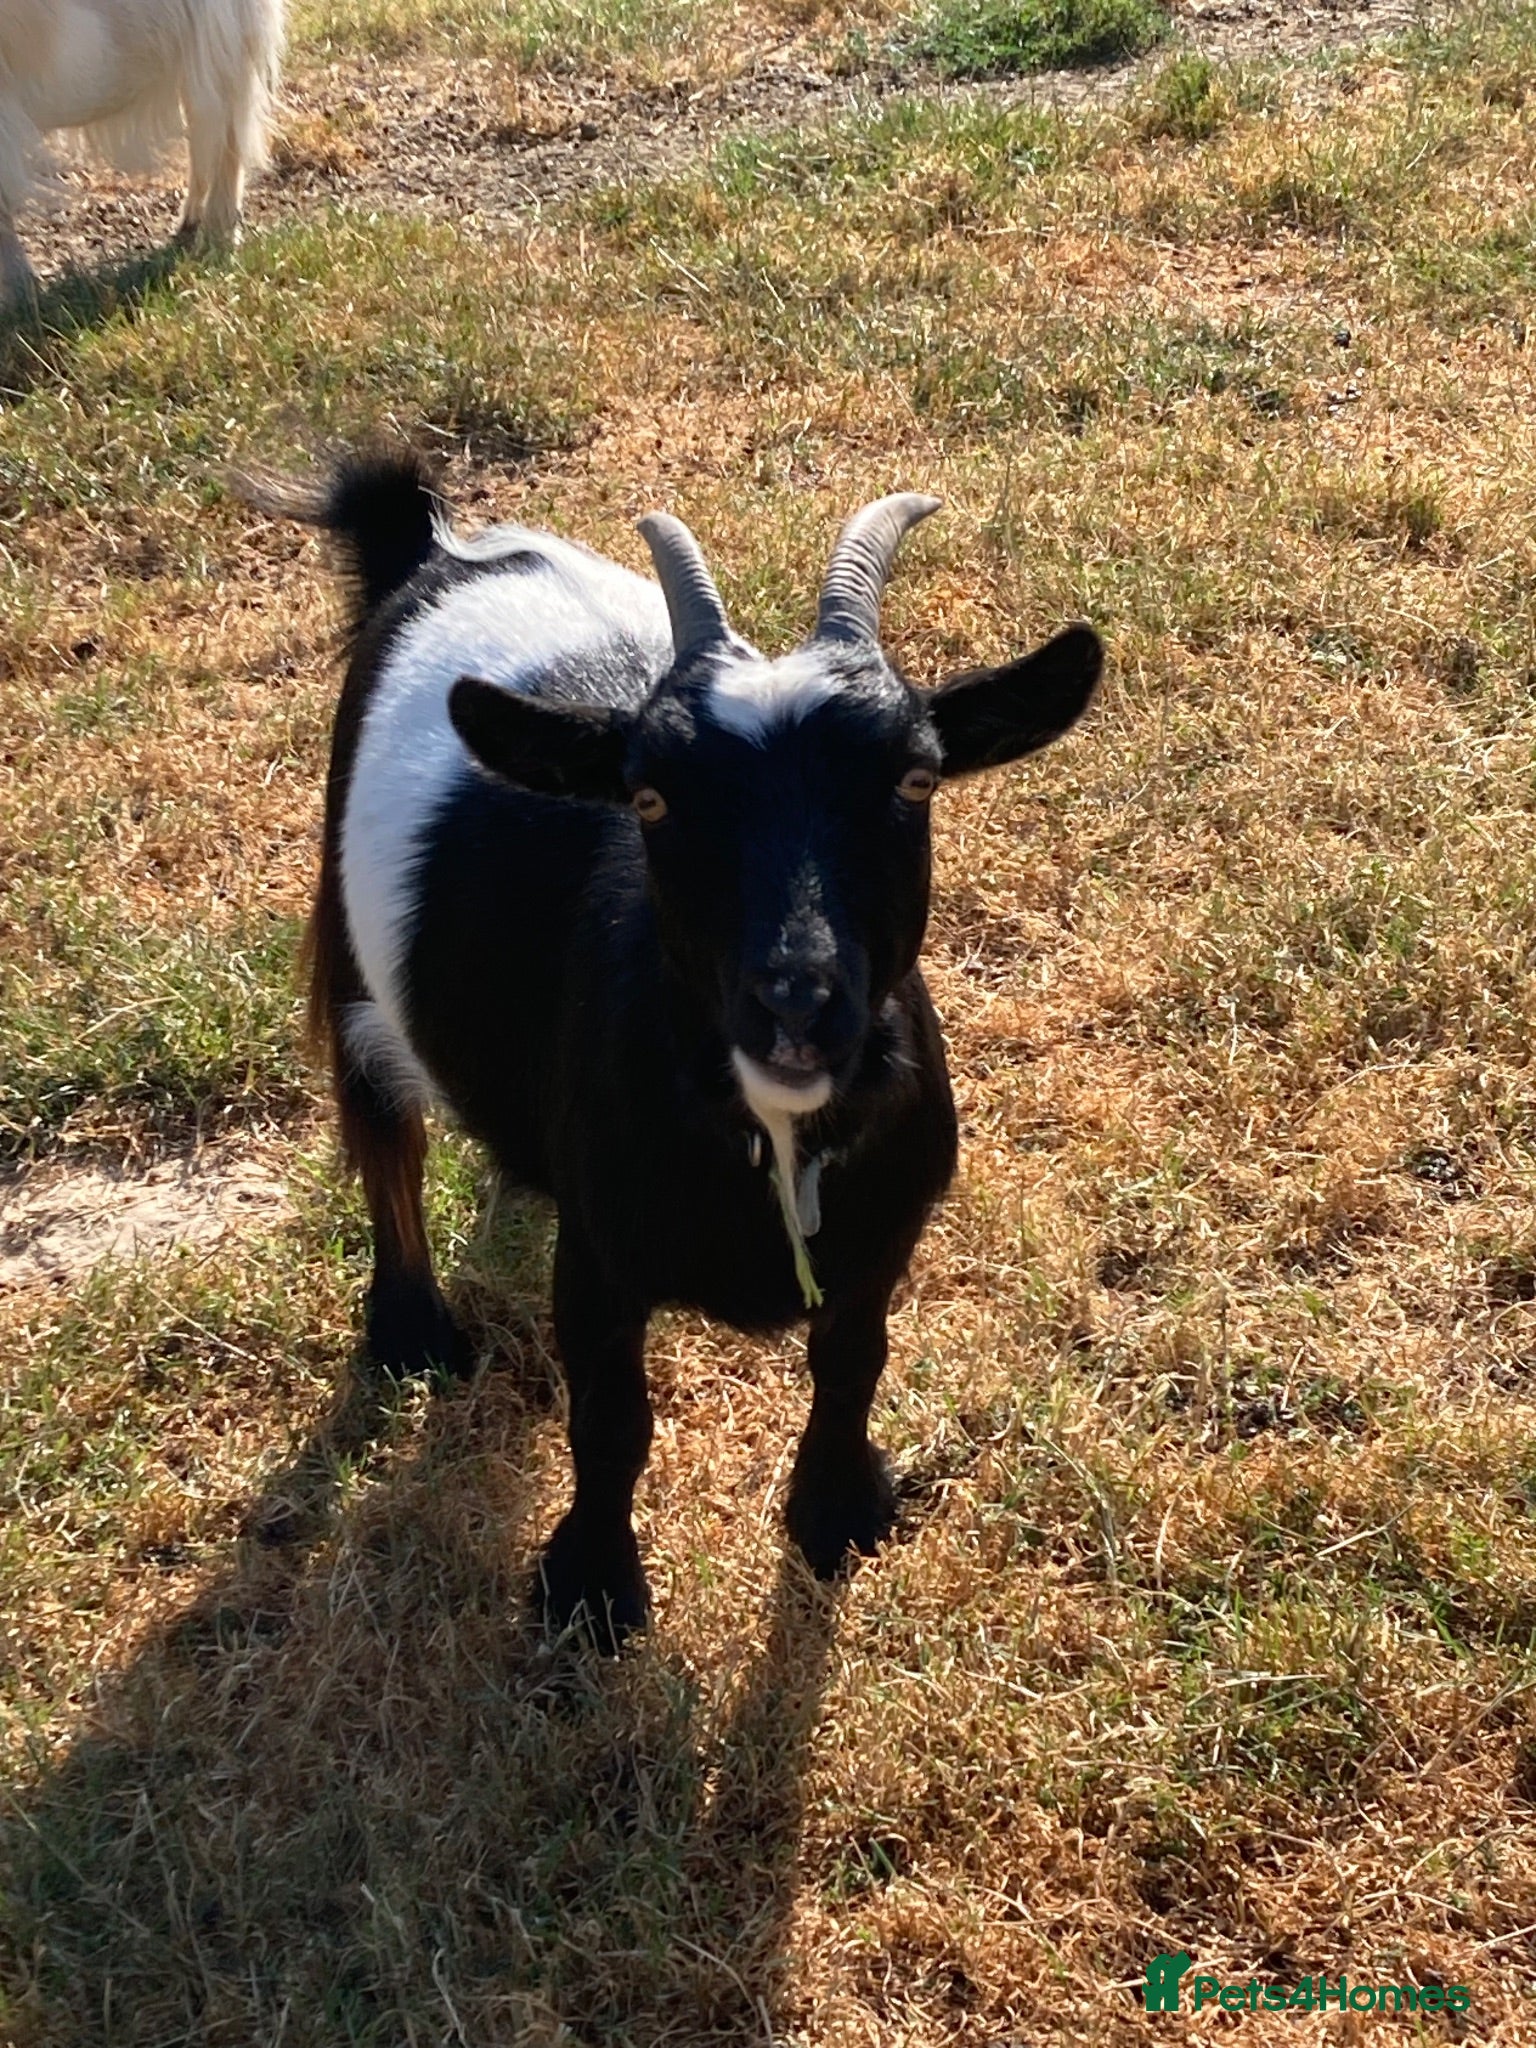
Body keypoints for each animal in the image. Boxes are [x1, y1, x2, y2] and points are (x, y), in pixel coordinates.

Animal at [0, 0, 283, 307]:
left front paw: (18, 293)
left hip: (224, 36)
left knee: (227, 129)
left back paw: (216, 242)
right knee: (208, 130)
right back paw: (191, 222)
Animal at [255, 452, 1101, 1646]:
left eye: (914, 779)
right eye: (651, 795)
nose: (795, 1002)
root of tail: (434, 547)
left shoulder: (882, 1240)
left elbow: (853, 1363)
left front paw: (838, 1511)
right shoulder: (601, 1258)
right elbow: (613, 1420)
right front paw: (590, 1590)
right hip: (348, 943)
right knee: (383, 1130)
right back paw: (412, 1333)